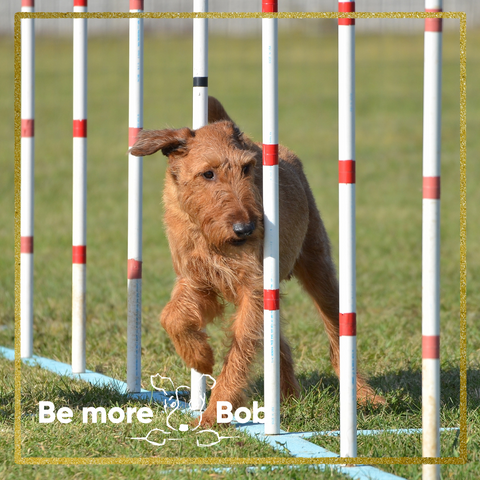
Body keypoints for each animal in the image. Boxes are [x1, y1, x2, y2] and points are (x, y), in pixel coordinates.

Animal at [129, 95, 380, 426]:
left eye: (247, 168)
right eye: (208, 173)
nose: (246, 228)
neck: (211, 238)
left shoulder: (253, 287)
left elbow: (241, 349)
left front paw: (215, 412)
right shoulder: (197, 281)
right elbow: (172, 318)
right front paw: (201, 357)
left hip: (318, 269)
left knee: (337, 334)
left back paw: (364, 396)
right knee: (277, 338)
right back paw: (288, 394)